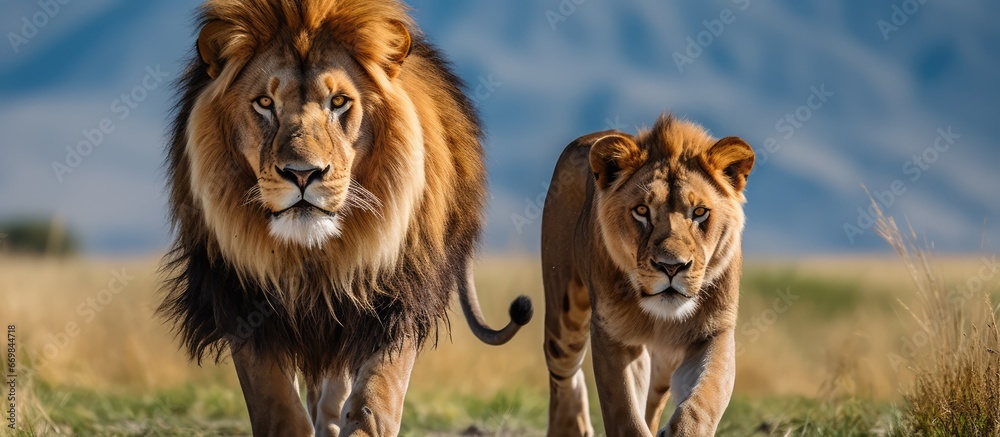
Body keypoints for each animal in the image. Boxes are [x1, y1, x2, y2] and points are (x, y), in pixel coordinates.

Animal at [156, 1, 532, 434]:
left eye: (339, 102)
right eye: (264, 103)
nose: (303, 174)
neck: (315, 253)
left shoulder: (396, 294)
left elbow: (376, 395)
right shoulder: (239, 295)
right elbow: (278, 406)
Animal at [544, 116, 752, 436]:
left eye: (700, 212)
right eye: (642, 210)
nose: (672, 266)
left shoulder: (713, 331)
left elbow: (704, 399)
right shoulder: (613, 335)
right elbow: (625, 415)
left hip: (664, 359)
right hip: (564, 318)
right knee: (563, 375)